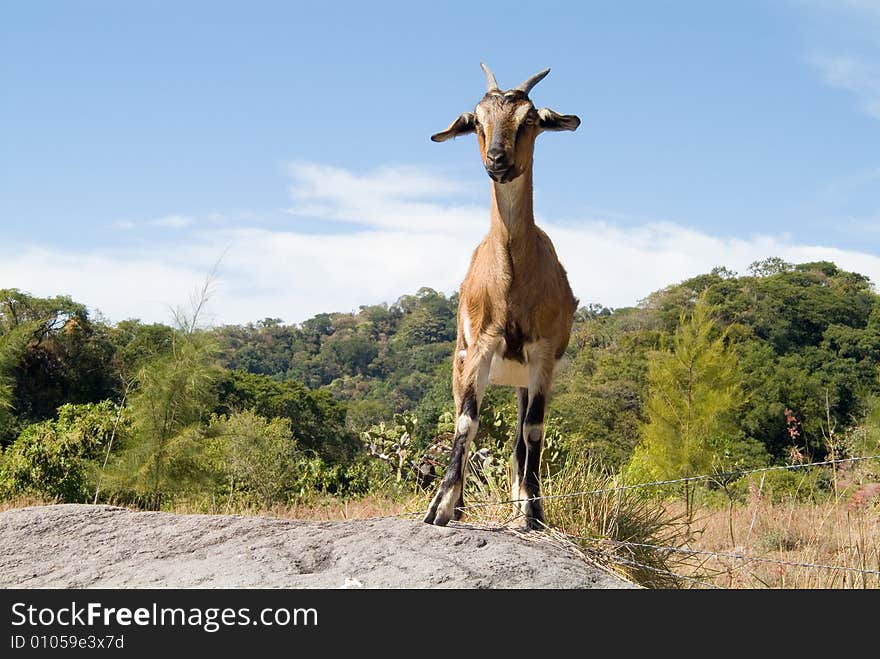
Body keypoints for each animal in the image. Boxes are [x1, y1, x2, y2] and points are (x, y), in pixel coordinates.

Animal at [422, 63, 580, 532]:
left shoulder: (542, 354)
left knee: (518, 441)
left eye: (529, 119)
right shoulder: (481, 346)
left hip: (523, 378)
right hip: (463, 364)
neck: (511, 280)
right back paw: (458, 505)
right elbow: (466, 423)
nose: (497, 159)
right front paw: (440, 508)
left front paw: (534, 513)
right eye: (476, 121)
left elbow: (532, 432)